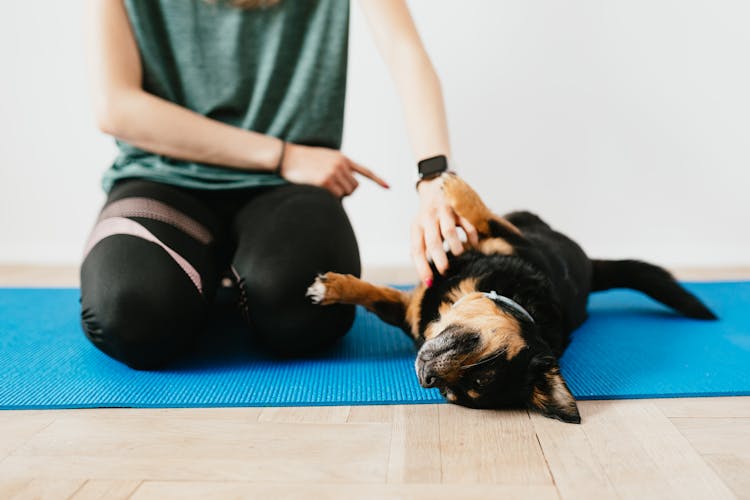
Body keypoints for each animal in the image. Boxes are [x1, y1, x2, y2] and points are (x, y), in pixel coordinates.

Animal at [304, 174, 716, 424]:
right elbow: (375, 294)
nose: (425, 377)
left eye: (452, 392)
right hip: (525, 221)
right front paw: (334, 288)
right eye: (483, 354)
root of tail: (590, 268)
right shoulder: (501, 247)